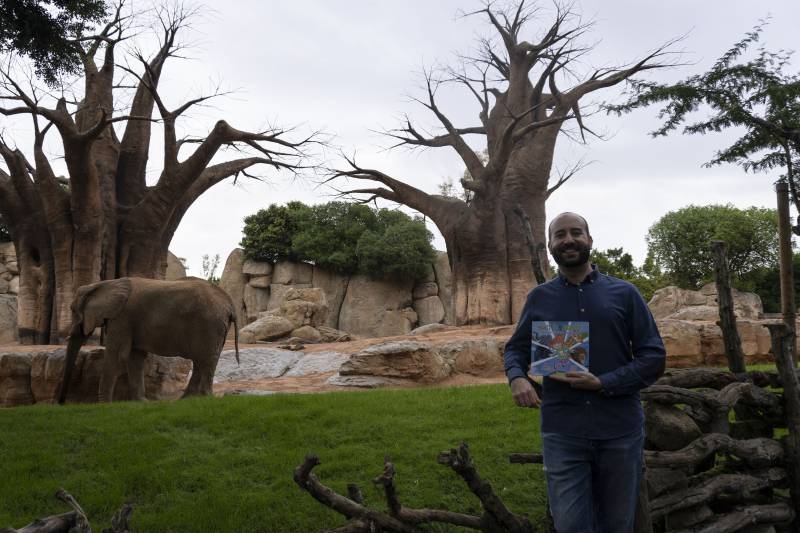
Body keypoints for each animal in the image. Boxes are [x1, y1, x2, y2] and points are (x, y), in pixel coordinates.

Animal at [57, 276, 238, 402]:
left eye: (73, 310)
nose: (61, 403)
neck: (105, 284)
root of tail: (229, 303)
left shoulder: (122, 318)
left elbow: (118, 356)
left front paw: (105, 405)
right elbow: (135, 357)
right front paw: (141, 402)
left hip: (210, 325)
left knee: (206, 360)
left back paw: (204, 397)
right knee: (202, 361)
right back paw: (186, 400)